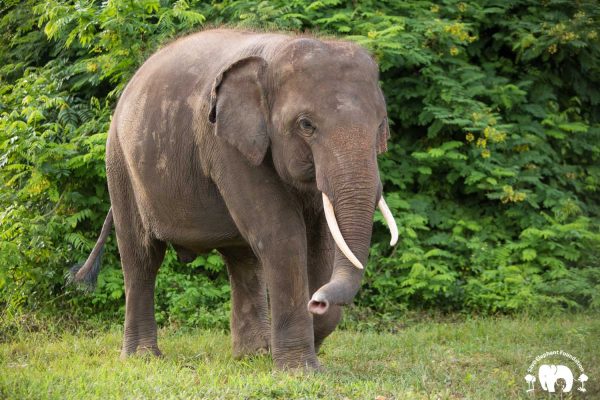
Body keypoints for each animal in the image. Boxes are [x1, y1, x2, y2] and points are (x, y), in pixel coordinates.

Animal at [70, 28, 398, 372]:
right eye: (306, 125)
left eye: (380, 125)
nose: (317, 301)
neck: (276, 52)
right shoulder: (227, 146)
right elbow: (283, 234)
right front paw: (300, 371)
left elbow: (320, 241)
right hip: (120, 165)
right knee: (142, 257)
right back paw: (143, 357)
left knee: (243, 260)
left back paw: (253, 355)